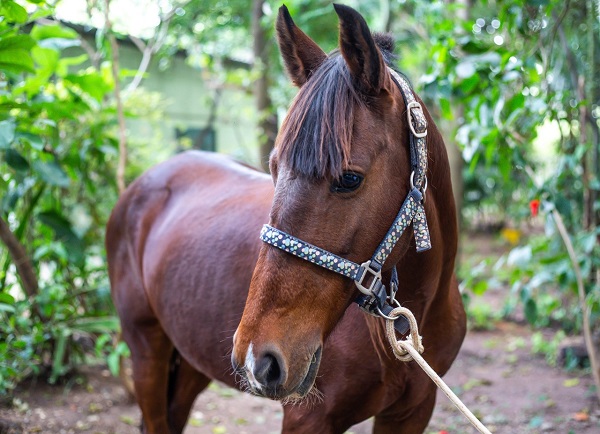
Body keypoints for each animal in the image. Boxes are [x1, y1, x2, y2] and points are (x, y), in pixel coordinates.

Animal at [105, 4, 466, 434]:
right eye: (274, 168)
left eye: (349, 178)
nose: (257, 358)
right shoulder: (308, 417)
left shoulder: (413, 410)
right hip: (147, 350)